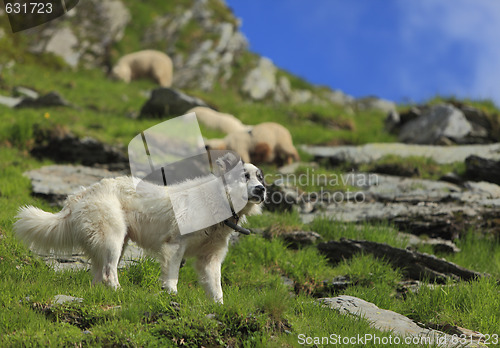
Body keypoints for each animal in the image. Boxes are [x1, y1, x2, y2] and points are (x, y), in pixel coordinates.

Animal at [14, 158, 266, 302]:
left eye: (260, 178)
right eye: (244, 176)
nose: (262, 189)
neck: (219, 200)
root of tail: (80, 194)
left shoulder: (210, 258)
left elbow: (216, 288)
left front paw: (219, 307)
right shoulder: (174, 246)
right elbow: (172, 276)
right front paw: (171, 296)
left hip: (111, 243)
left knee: (98, 275)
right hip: (113, 240)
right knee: (109, 272)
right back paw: (120, 293)